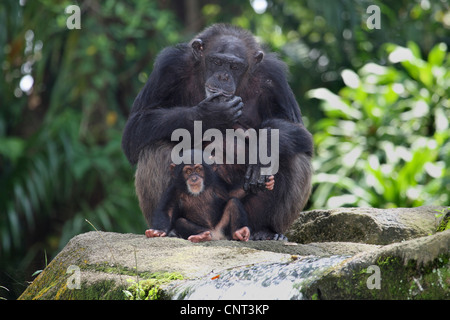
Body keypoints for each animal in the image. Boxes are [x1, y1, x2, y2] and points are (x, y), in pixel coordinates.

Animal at [123, 23, 312, 240]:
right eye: (217, 61)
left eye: (235, 66)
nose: (223, 76)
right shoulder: (168, 67)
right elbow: (136, 127)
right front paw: (211, 114)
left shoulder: (274, 78)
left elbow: (300, 131)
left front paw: (261, 152)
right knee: (155, 146)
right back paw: (169, 230)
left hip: (246, 215)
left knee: (295, 154)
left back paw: (267, 231)